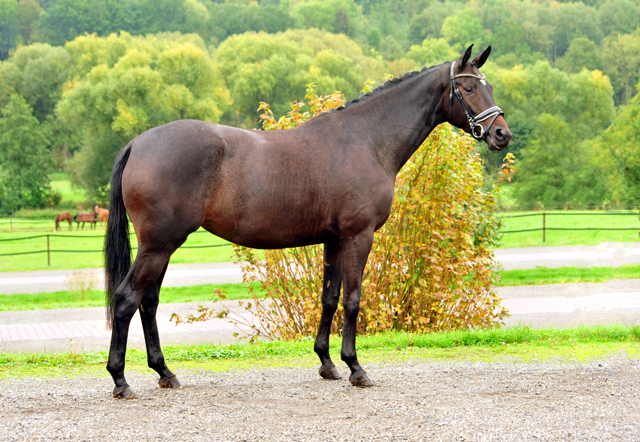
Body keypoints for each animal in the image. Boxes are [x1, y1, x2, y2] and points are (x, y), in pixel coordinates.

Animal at [107, 46, 512, 398]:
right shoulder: (358, 237)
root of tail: (137, 144)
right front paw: (356, 368)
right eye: (469, 88)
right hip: (159, 245)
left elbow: (329, 298)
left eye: (489, 86)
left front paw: (327, 364)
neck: (365, 139)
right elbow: (352, 299)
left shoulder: (334, 240)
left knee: (148, 302)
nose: (501, 134)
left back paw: (164, 372)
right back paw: (121, 380)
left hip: (161, 246)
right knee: (127, 299)